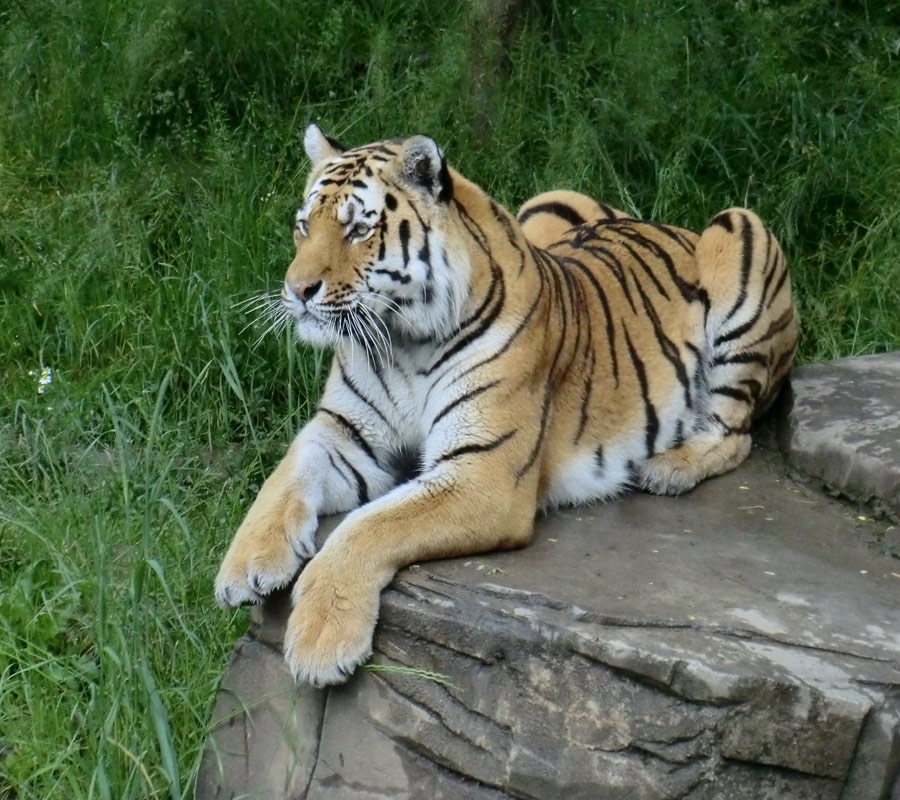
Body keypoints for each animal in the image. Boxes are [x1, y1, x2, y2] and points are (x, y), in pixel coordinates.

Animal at [214, 125, 800, 688]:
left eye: (359, 229)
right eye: (303, 226)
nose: (297, 290)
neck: (403, 342)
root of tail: (668, 224)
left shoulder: (484, 473)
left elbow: (367, 525)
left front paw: (321, 641)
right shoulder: (344, 433)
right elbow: (285, 476)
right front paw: (244, 566)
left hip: (739, 228)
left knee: (736, 432)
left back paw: (668, 469)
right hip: (552, 197)